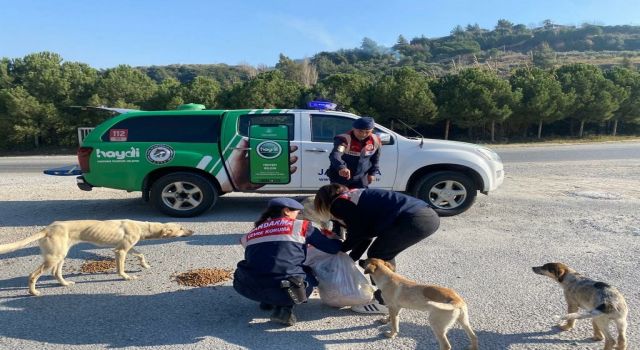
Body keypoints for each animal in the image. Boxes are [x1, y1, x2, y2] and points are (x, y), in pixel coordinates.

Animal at [1, 220, 194, 294]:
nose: (192, 231)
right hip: (54, 257)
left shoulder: (126, 247)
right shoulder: (120, 251)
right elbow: (121, 267)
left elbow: (140, 253)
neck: (142, 226)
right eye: (181, 228)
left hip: (61, 255)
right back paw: (33, 292)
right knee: (33, 275)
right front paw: (125, 277)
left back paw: (64, 283)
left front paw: (144, 265)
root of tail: (48, 228)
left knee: (56, 273)